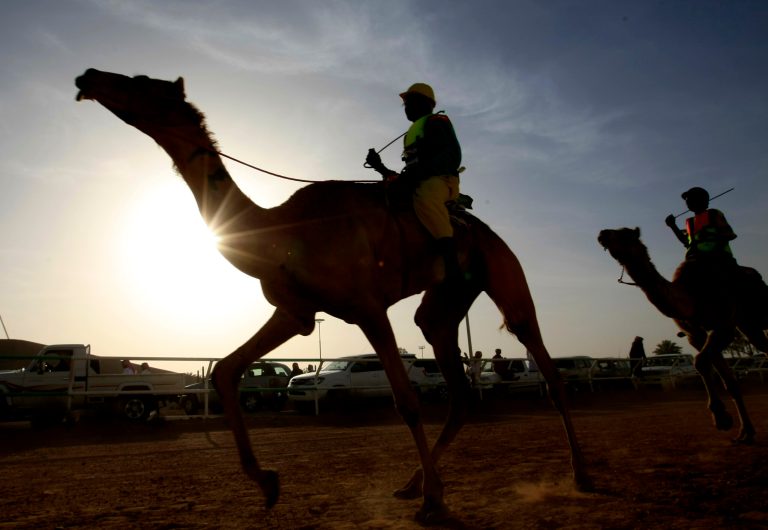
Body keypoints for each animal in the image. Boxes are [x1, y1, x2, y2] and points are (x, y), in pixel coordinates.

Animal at [74, 68, 589, 522]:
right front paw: (268, 483)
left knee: (545, 364)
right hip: (444, 305)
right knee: (454, 381)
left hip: (504, 274)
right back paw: (414, 483)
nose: (88, 76)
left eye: (142, 82)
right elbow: (225, 370)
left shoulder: (368, 307)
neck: (281, 233)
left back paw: (578, 474)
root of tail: (483, 231)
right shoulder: (297, 311)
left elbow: (407, 402)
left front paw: (435, 503)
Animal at [598, 227, 768, 443]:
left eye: (625, 233)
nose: (602, 233)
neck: (690, 296)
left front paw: (721, 418)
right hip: (748, 324)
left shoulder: (723, 327)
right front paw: (742, 431)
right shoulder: (694, 334)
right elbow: (724, 378)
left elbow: (701, 361)